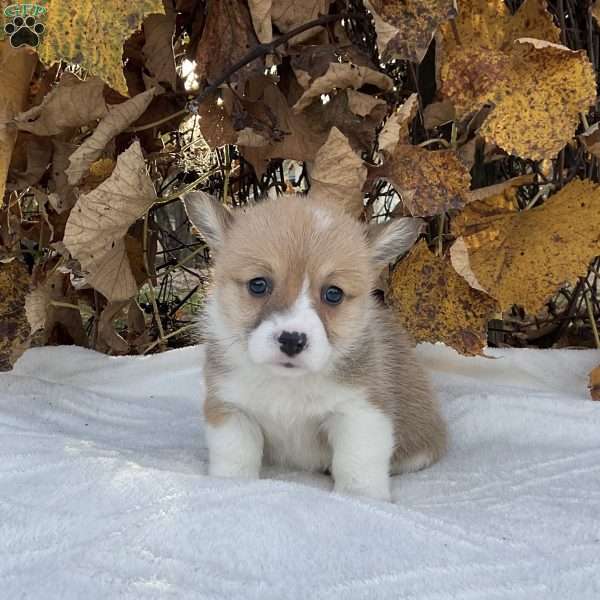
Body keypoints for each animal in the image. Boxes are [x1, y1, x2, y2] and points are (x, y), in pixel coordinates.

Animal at [184, 192, 446, 502]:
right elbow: (235, 459)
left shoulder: (360, 413)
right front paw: (229, 486)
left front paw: (363, 500)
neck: (288, 383)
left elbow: (357, 466)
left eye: (333, 293)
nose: (292, 340)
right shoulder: (232, 410)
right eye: (258, 284)